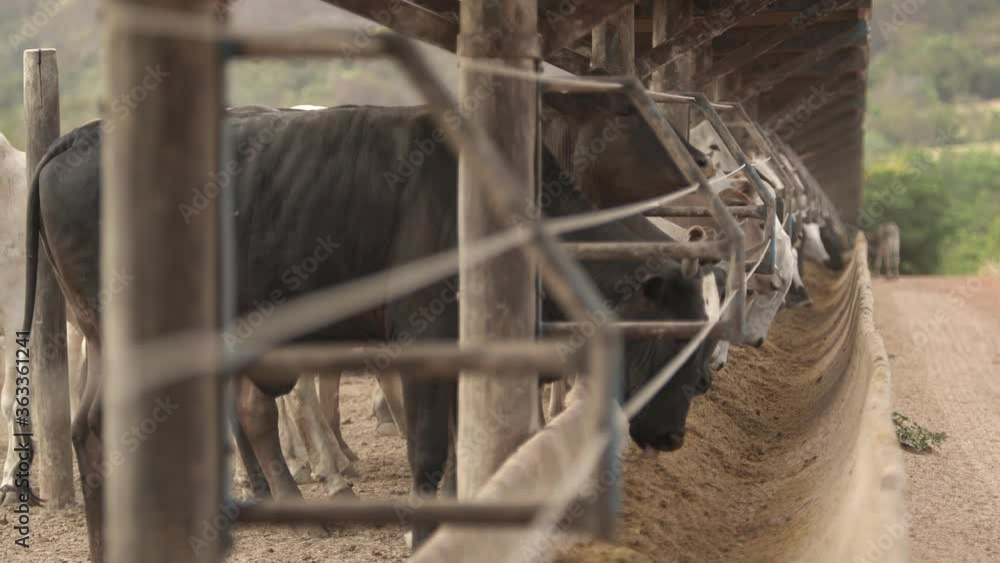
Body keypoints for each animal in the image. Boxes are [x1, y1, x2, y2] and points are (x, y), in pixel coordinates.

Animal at [23, 100, 720, 558]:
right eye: (672, 333)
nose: (677, 437)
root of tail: (77, 136)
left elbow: (464, 446)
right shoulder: (425, 338)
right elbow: (430, 450)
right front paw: (421, 534)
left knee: (98, 427)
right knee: (111, 425)